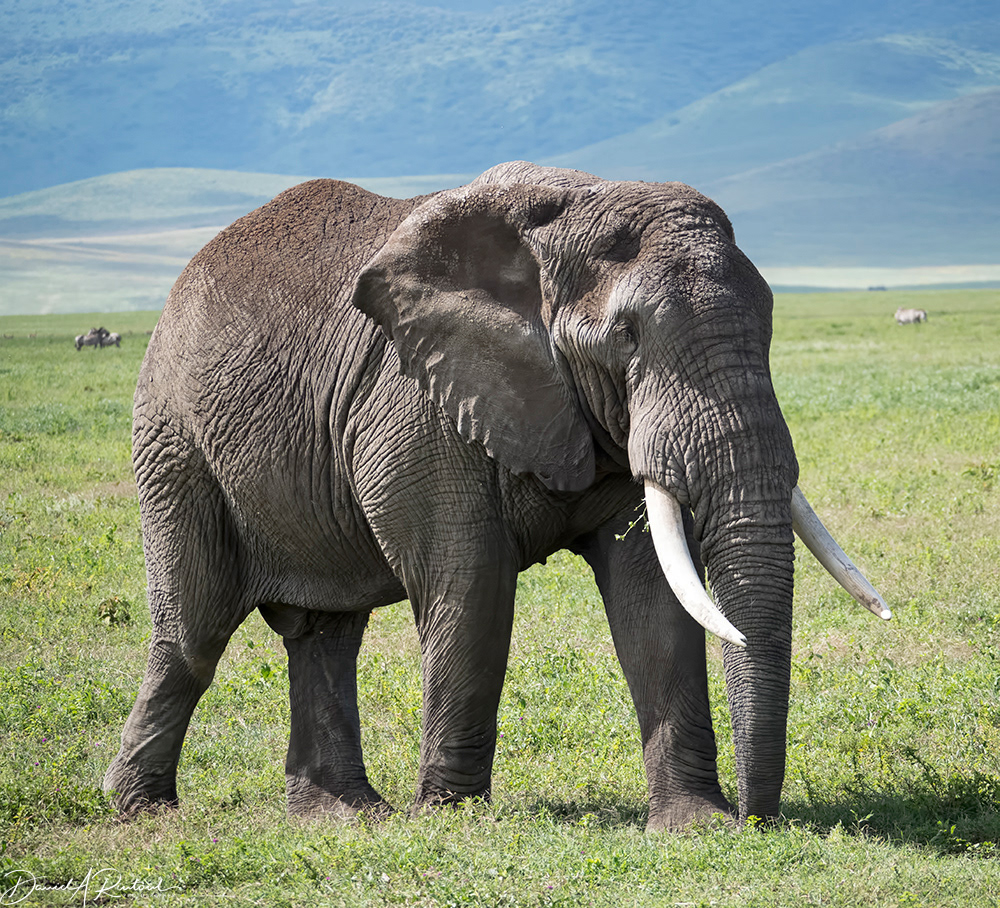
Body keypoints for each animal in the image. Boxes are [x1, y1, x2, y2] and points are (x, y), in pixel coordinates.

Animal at [104, 161, 889, 830]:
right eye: (626, 336)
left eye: (771, 321)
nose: (758, 820)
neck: (568, 211)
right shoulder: (419, 405)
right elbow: (473, 584)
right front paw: (450, 820)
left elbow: (653, 594)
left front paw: (694, 826)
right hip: (173, 445)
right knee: (194, 634)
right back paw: (144, 812)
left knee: (324, 634)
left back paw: (345, 817)